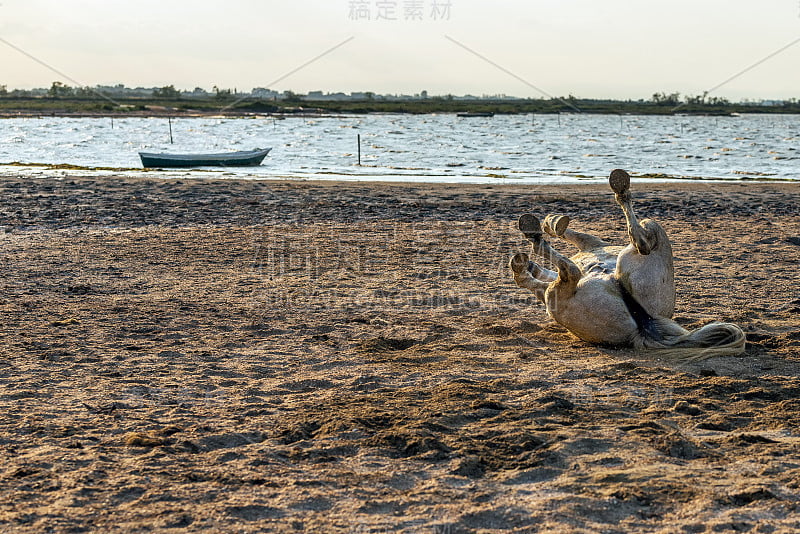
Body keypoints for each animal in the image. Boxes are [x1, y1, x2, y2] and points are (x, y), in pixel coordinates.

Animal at [510, 171, 748, 364]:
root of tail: (645, 327)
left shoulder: (589, 242)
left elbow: (567, 236)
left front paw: (551, 223)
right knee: (634, 245)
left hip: (560, 292)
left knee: (581, 267)